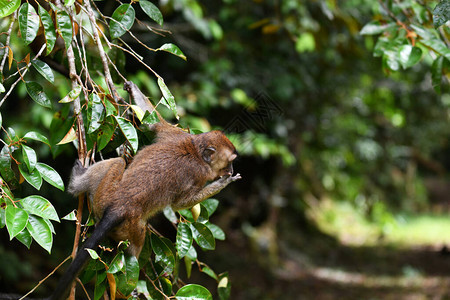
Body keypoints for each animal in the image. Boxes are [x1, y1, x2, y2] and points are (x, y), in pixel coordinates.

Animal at [47, 82, 241, 300]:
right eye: (229, 163)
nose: (231, 170)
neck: (196, 152)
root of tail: (118, 206)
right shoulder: (199, 172)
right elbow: (180, 203)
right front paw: (225, 182)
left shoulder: (179, 135)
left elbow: (155, 123)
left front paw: (131, 89)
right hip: (130, 224)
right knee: (137, 234)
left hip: (102, 197)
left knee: (116, 163)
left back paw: (76, 183)